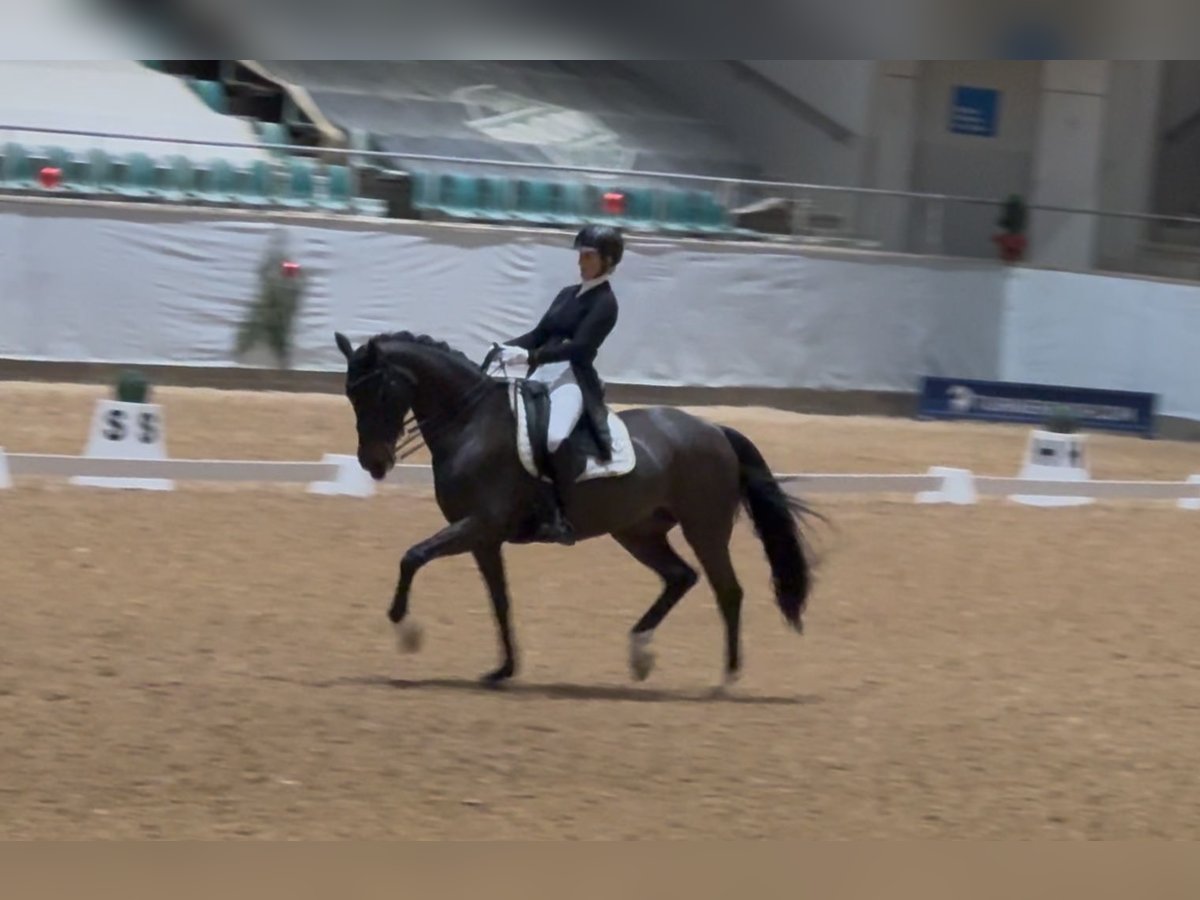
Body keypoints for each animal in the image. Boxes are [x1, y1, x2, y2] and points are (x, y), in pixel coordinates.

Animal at [333, 328, 820, 686]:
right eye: (350, 394)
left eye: (378, 392)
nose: (373, 463)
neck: (471, 424)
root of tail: (715, 429)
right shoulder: (484, 537)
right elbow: (499, 600)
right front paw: (504, 669)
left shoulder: (480, 524)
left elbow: (412, 556)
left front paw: (405, 630)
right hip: (638, 531)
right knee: (681, 577)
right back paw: (640, 652)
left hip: (705, 526)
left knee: (727, 590)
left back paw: (727, 677)